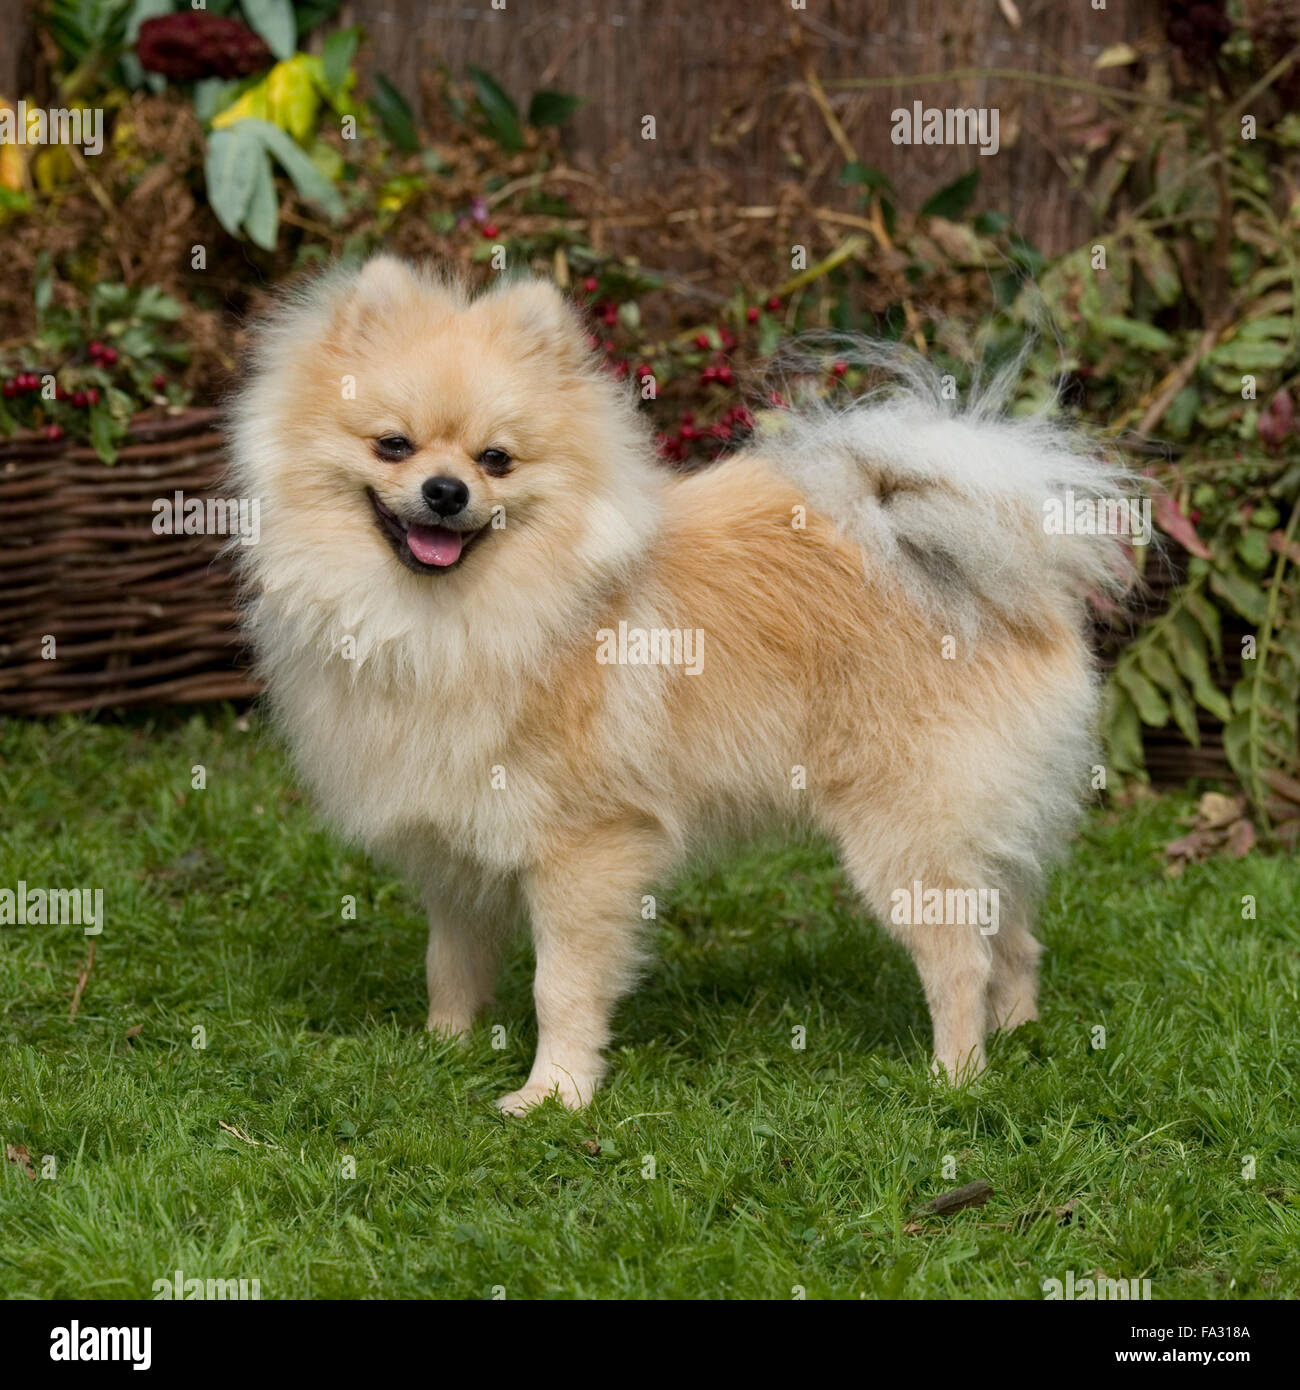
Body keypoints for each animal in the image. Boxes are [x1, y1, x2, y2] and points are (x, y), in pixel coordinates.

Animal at [229, 255, 1134, 1112]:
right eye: (393, 445)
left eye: (496, 460)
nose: (446, 492)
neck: (449, 618)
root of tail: (1007, 584)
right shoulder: (455, 845)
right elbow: (450, 962)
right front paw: (442, 1049)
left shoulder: (585, 849)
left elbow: (560, 987)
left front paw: (555, 1095)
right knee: (1011, 940)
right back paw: (1018, 1036)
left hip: (908, 831)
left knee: (958, 960)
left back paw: (956, 1077)